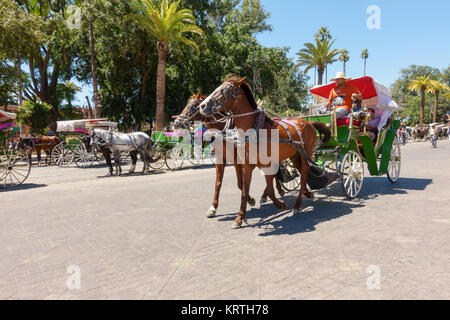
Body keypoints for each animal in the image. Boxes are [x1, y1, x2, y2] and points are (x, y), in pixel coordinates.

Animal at [200, 77, 330, 228]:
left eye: (225, 90)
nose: (202, 106)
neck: (255, 129)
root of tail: (308, 123)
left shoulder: (267, 164)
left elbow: (270, 187)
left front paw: (279, 204)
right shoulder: (246, 165)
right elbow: (245, 189)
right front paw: (239, 217)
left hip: (306, 154)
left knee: (303, 175)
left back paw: (297, 205)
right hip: (295, 155)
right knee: (301, 173)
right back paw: (307, 194)